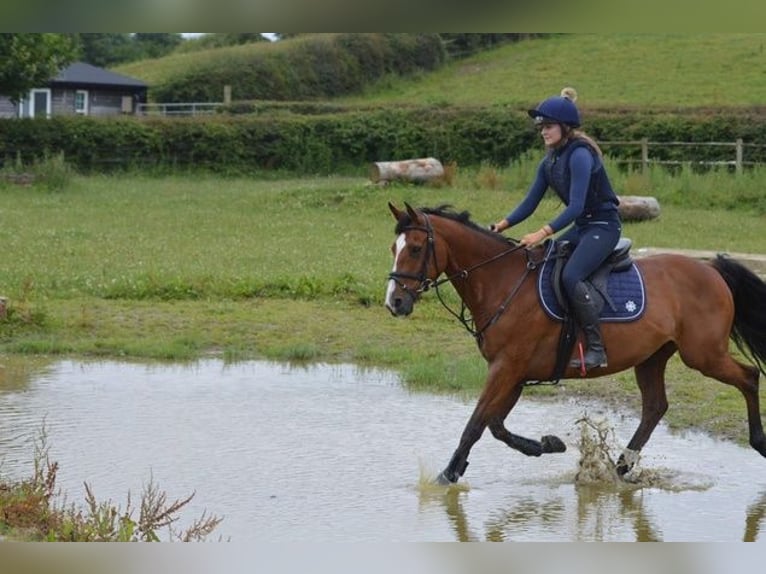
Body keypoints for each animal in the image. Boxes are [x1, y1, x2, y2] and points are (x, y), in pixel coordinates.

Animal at [388, 202, 766, 486]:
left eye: (416, 249)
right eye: (394, 249)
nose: (394, 302)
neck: (503, 282)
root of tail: (712, 269)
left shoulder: (506, 368)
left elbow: (475, 424)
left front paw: (447, 476)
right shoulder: (513, 374)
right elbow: (494, 425)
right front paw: (547, 445)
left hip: (703, 355)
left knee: (748, 377)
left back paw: (759, 443)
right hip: (653, 357)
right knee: (655, 407)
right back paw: (621, 467)